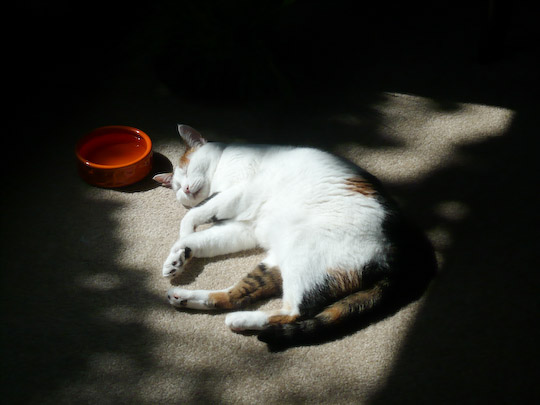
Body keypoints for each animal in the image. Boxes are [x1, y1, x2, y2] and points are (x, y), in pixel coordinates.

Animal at [153, 123, 438, 340]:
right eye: (176, 187)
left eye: (186, 170)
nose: (185, 189)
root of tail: (398, 254)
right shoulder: (245, 228)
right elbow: (203, 238)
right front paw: (177, 259)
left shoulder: (241, 191)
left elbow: (194, 216)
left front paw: (182, 238)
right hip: (278, 262)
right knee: (237, 296)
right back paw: (185, 298)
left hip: (304, 255)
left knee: (293, 313)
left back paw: (239, 319)